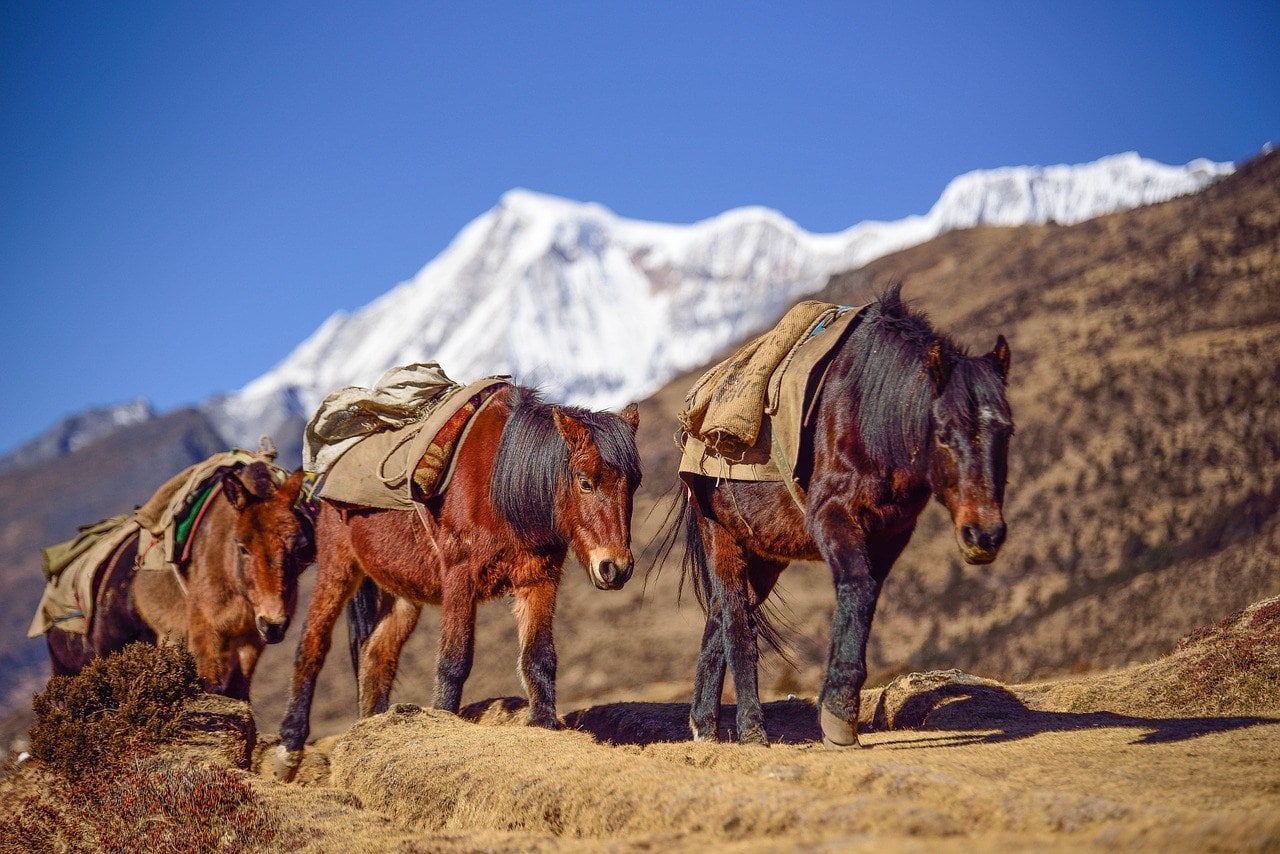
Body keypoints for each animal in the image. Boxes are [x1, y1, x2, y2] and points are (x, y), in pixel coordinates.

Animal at [45, 463, 315, 700]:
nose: (273, 624)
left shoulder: (250, 642)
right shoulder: (203, 632)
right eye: (242, 547)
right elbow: (210, 687)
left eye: (299, 545)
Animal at [272, 385, 641, 781]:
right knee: (312, 644)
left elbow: (539, 657)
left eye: (633, 485)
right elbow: (454, 661)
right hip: (337, 568)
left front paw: (542, 724)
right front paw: (444, 722)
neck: (502, 485)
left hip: (401, 593)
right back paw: (289, 749)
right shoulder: (459, 580)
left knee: (377, 654)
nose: (615, 568)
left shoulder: (539, 580)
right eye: (585, 482)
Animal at [669, 285, 1013, 749]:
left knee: (720, 618)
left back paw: (705, 727)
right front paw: (836, 717)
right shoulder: (832, 516)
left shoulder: (890, 535)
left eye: (1006, 431)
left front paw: (840, 709)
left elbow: (865, 597)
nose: (984, 535)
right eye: (942, 434)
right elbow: (856, 586)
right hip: (721, 537)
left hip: (763, 555)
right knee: (738, 625)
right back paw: (752, 729)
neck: (871, 415)